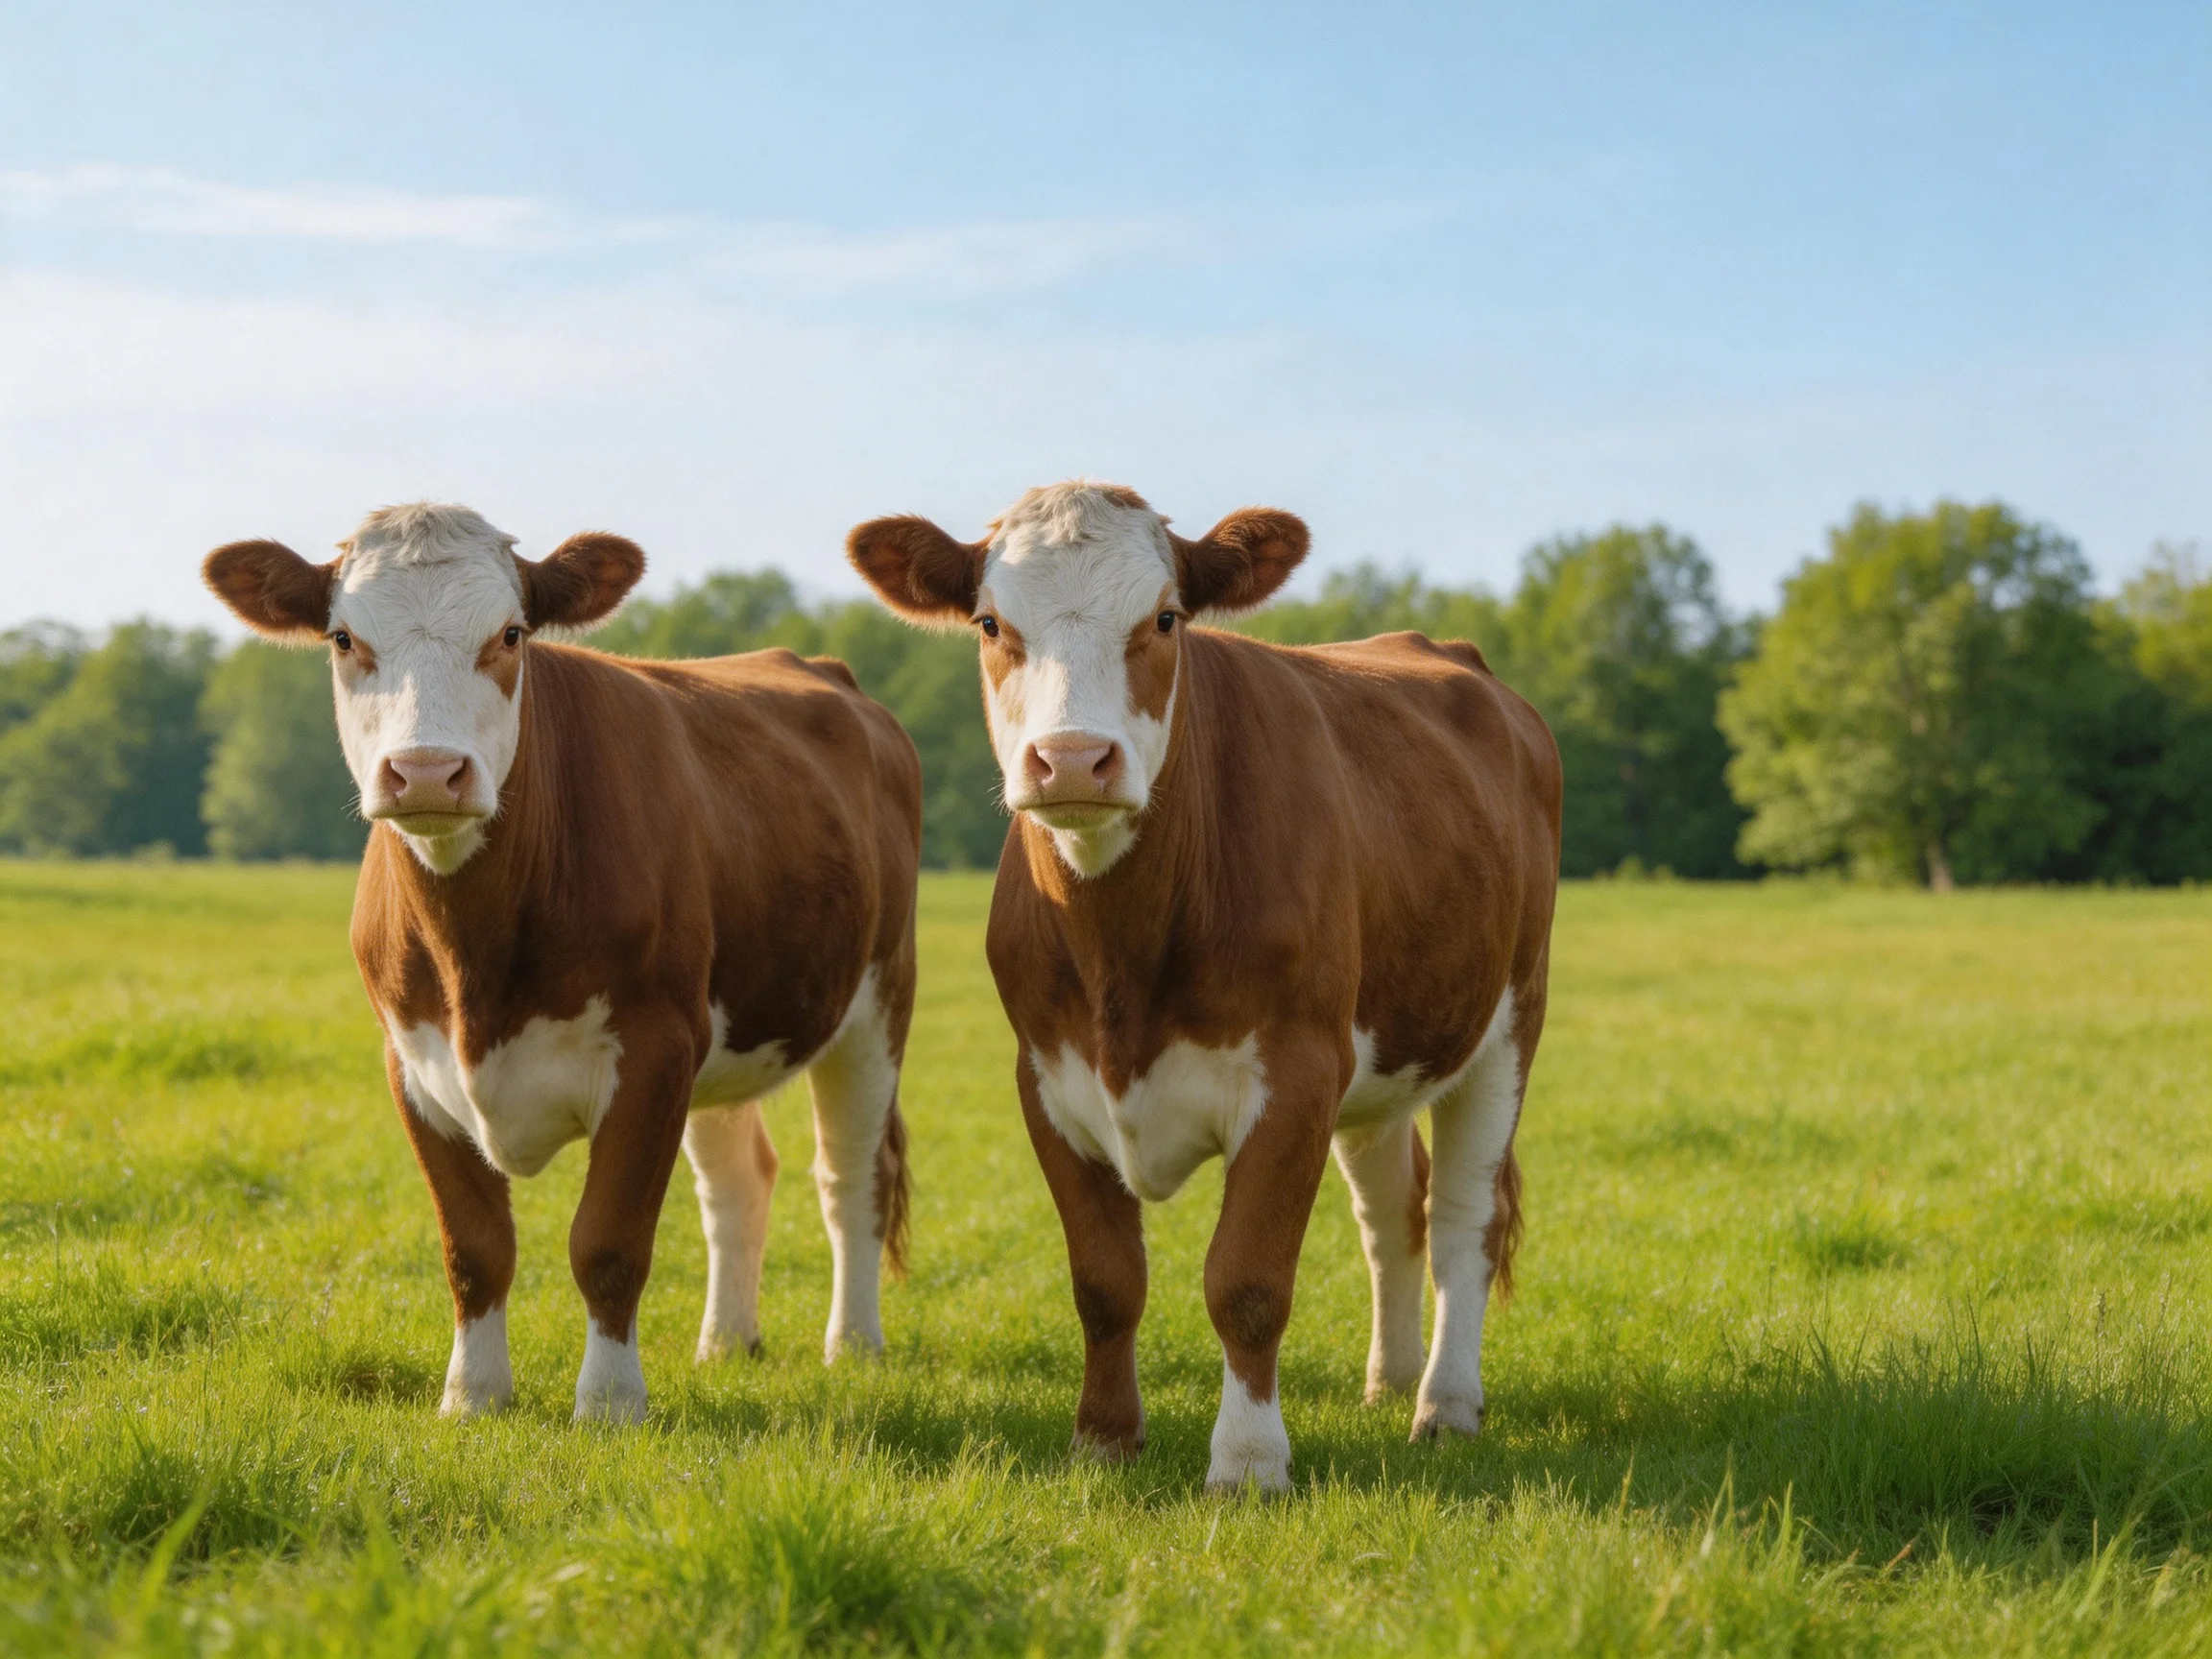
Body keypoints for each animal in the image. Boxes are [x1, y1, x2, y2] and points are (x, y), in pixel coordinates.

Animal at [203, 502, 921, 1423]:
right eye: (342, 637)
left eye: (511, 634)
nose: (426, 772)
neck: (476, 962)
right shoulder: (412, 1059)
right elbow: (474, 1246)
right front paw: (472, 1394)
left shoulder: (654, 1048)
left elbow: (607, 1242)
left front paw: (610, 1403)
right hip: (728, 1028)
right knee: (738, 1180)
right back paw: (727, 1342)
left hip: (876, 1000)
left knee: (851, 1174)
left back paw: (853, 1345)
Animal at [848, 482, 1559, 1491]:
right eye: (990, 622)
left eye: (1165, 618)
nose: (1073, 758)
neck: (1123, 959)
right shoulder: (1046, 1079)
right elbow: (1105, 1281)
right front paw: (1104, 1439)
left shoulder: (1296, 1073)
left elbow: (1248, 1281)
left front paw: (1250, 1461)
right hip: (1382, 1055)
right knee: (1393, 1214)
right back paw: (1389, 1381)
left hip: (1508, 1019)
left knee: (1466, 1215)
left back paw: (1446, 1404)